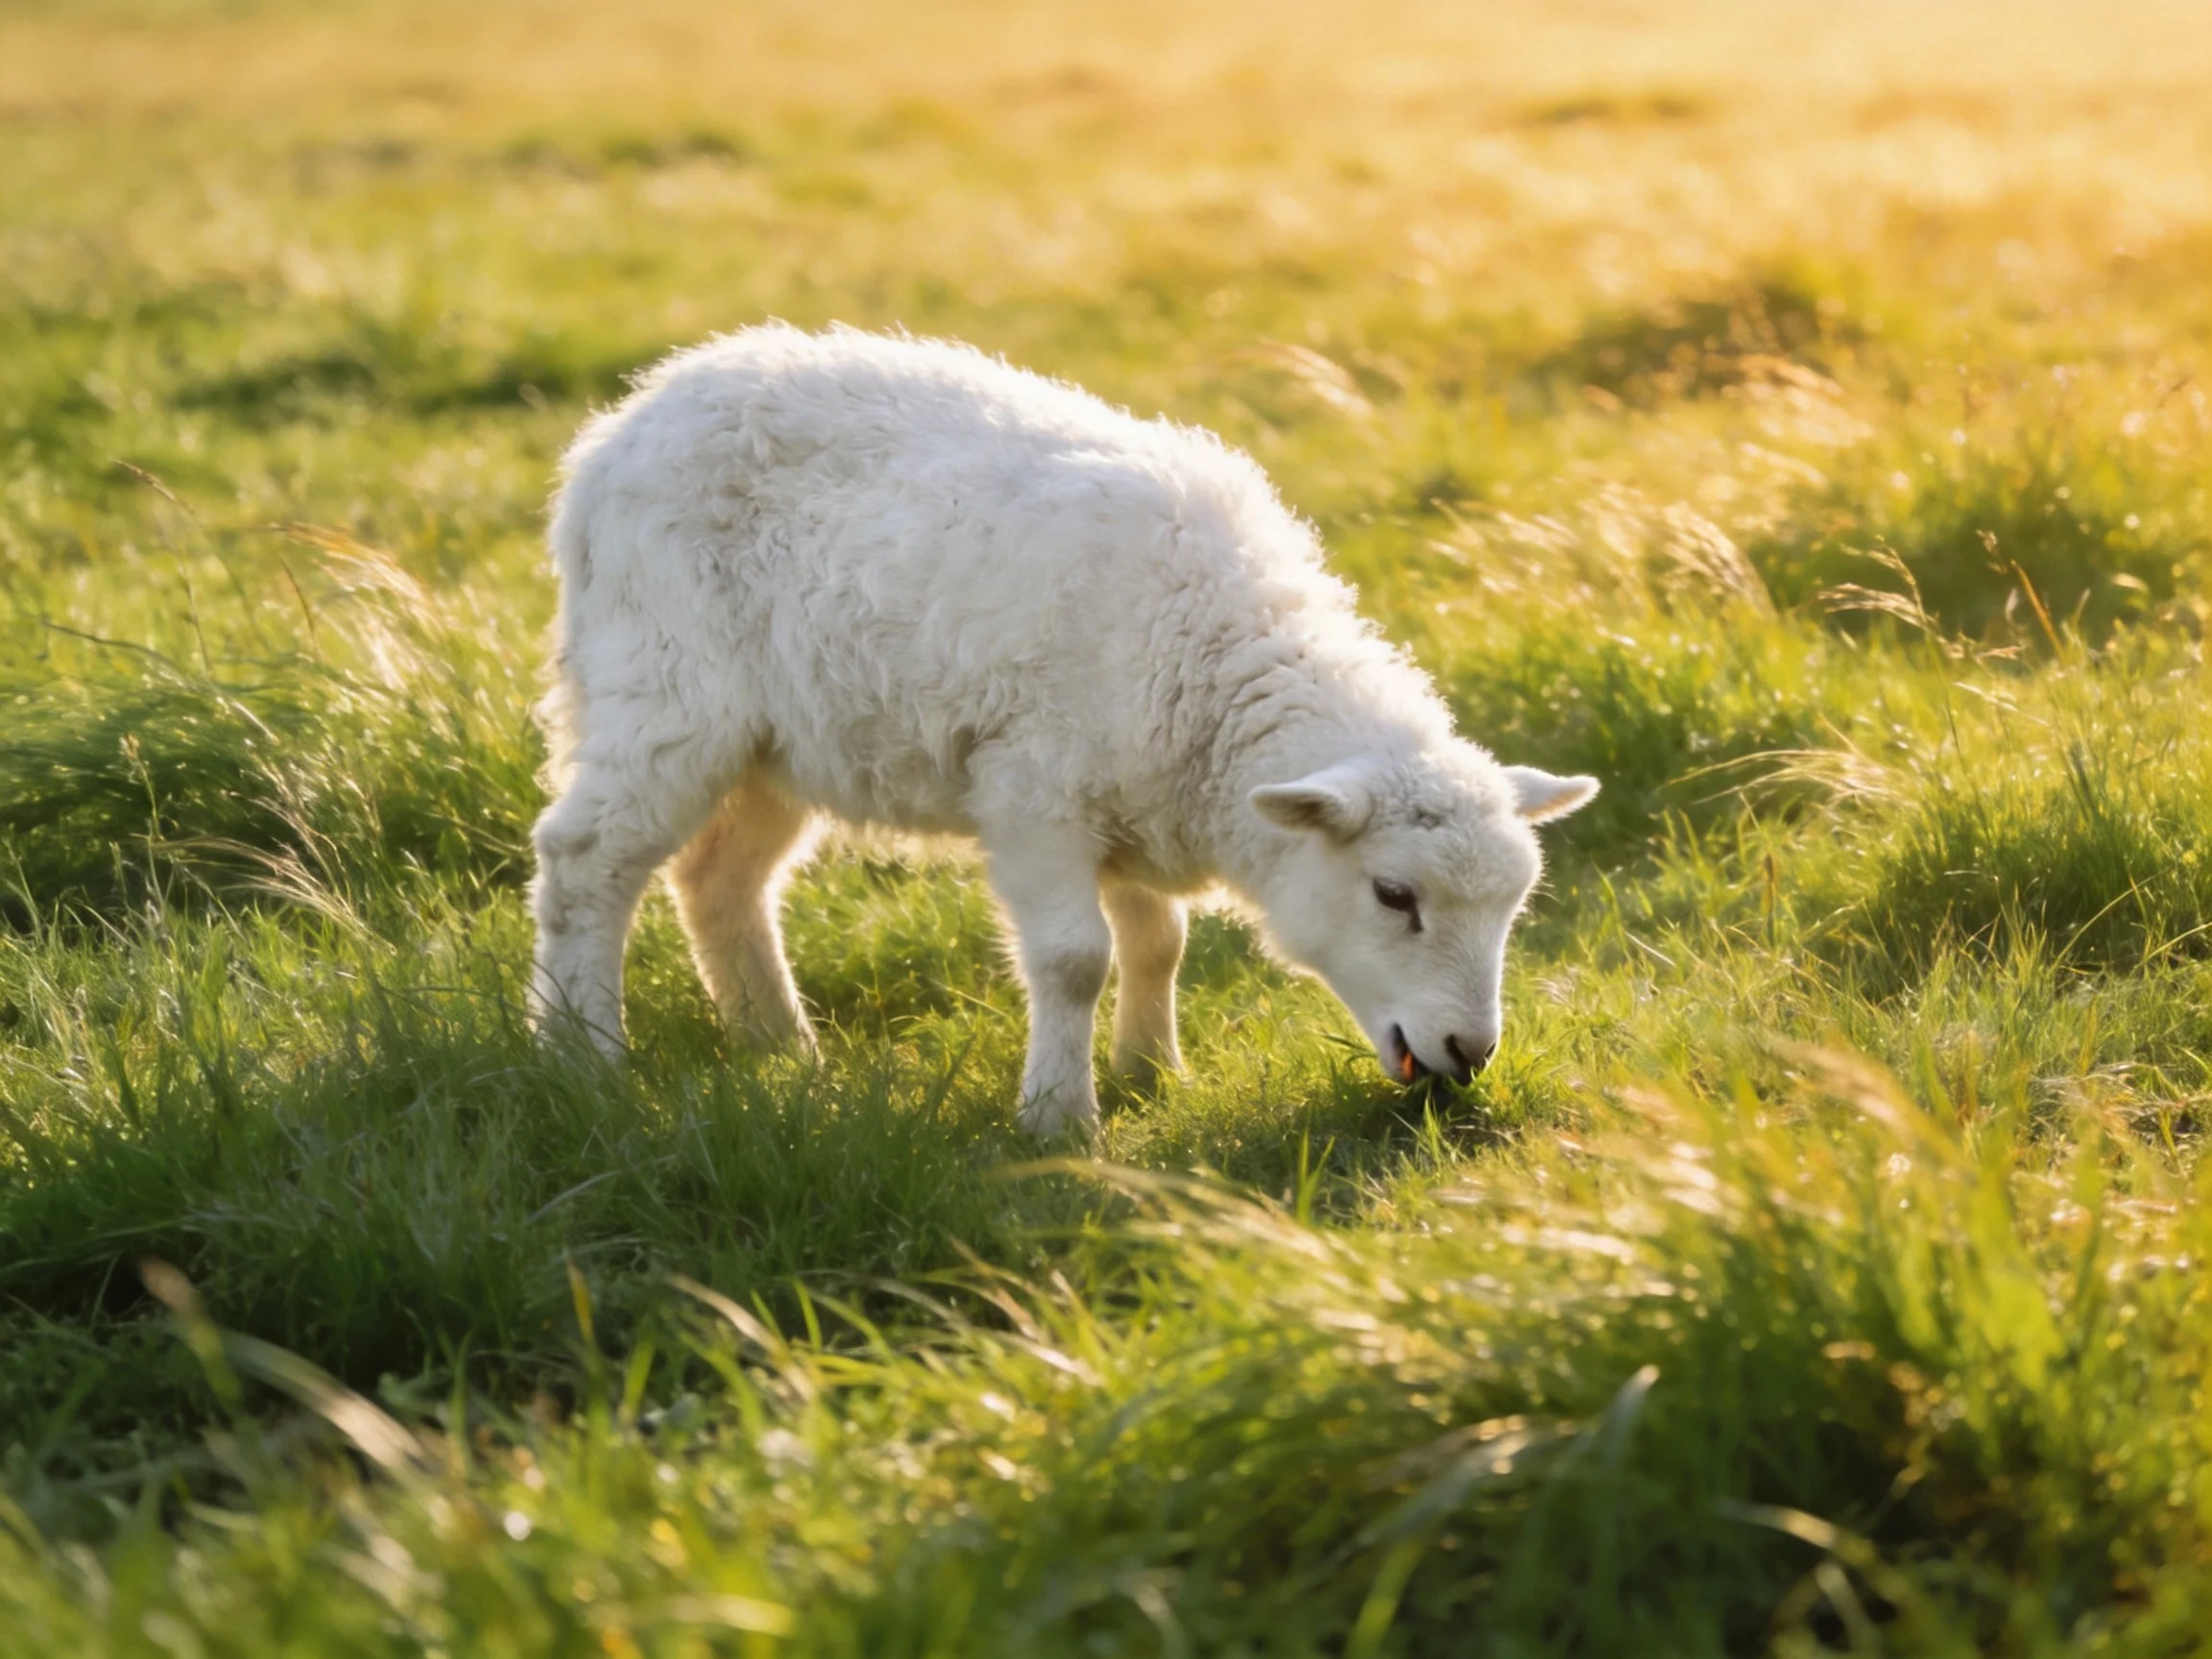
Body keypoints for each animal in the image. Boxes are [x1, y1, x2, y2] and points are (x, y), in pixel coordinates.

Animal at [530, 325, 1596, 1135]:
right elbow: (1076, 959)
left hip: (775, 741)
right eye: (1392, 895)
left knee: (721, 880)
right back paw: (582, 1056)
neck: (1211, 653)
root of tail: (625, 422)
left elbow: (1159, 941)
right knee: (585, 859)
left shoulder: (1137, 793)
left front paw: (1152, 1072)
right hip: (667, 688)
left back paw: (780, 1048)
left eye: (1512, 909)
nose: (1470, 1051)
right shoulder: (1037, 793)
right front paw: (1059, 1117)